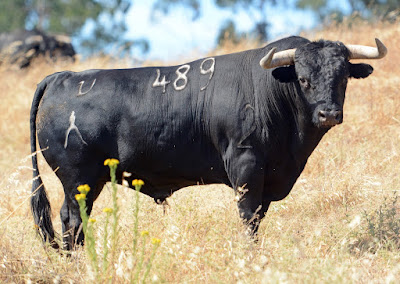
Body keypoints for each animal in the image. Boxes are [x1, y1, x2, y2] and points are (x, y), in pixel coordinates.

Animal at [29, 36, 386, 251]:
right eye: (303, 79)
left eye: (343, 78)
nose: (329, 113)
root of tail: (63, 76)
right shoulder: (245, 166)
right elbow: (249, 217)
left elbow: (259, 217)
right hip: (79, 178)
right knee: (72, 220)